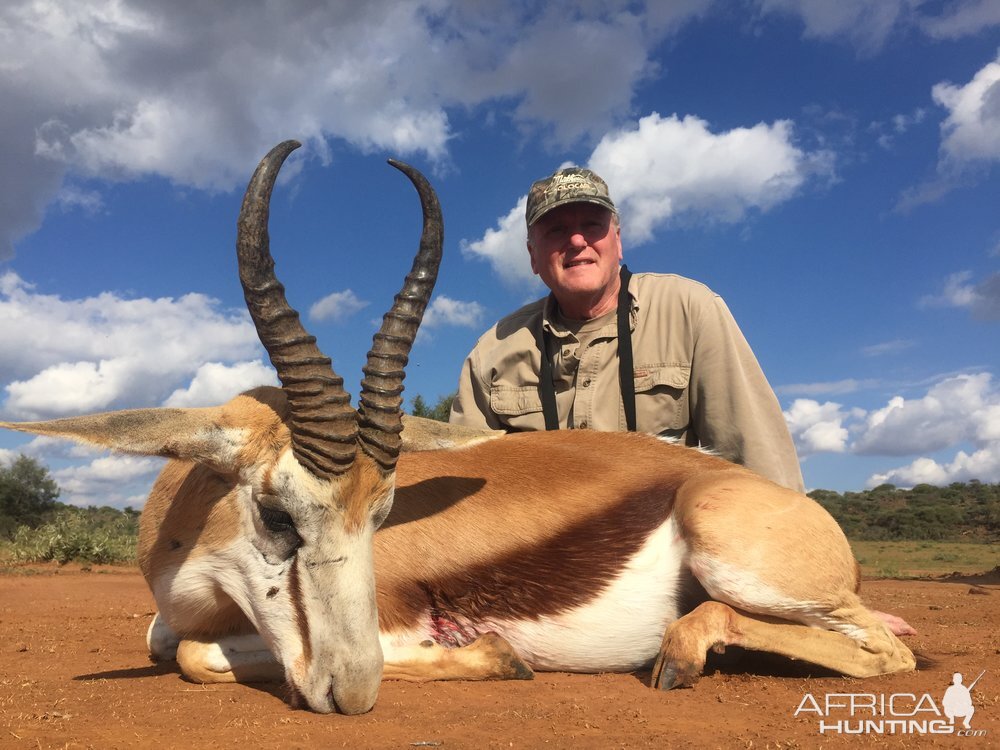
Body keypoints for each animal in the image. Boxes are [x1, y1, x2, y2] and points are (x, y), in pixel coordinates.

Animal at [0, 140, 916, 716]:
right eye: (275, 512)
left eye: (384, 516)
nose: (351, 693)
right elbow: (170, 645)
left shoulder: (387, 626)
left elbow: (197, 655)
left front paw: (497, 657)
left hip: (740, 560)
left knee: (887, 650)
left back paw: (684, 655)